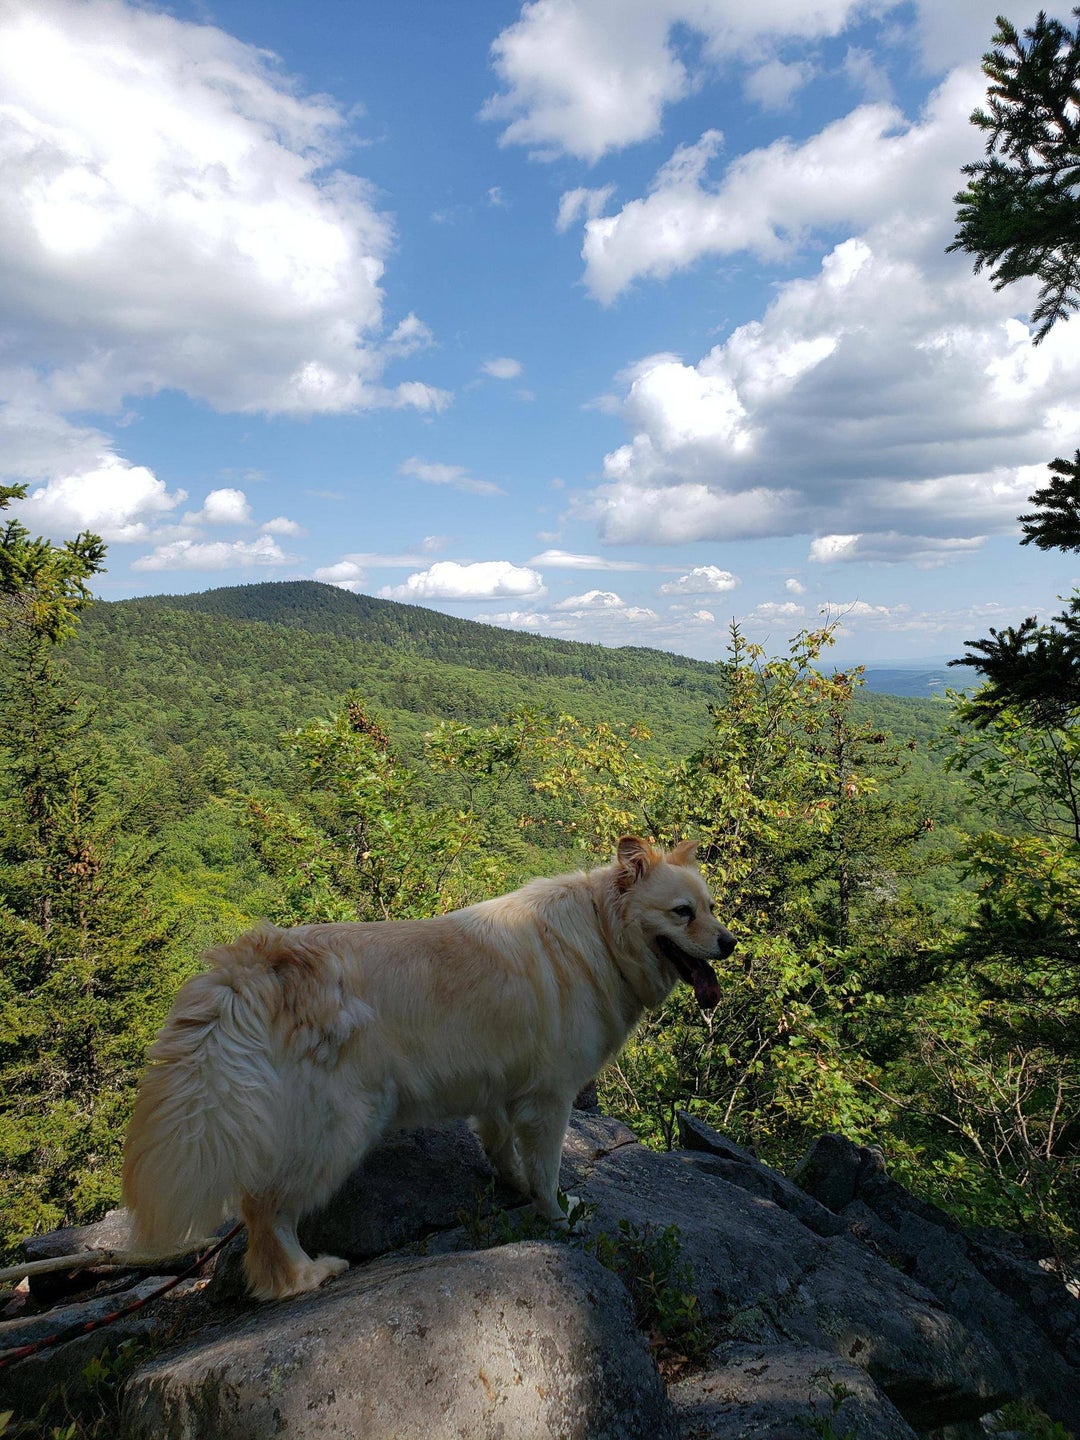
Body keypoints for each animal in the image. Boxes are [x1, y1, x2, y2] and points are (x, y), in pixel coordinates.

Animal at [122, 840, 743, 1301]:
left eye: (712, 907)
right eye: (682, 912)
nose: (731, 943)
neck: (600, 931)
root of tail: (263, 962)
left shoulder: (501, 1091)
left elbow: (502, 1149)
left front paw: (512, 1186)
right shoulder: (550, 1098)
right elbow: (546, 1172)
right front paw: (558, 1216)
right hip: (341, 1132)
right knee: (264, 1212)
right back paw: (301, 1277)